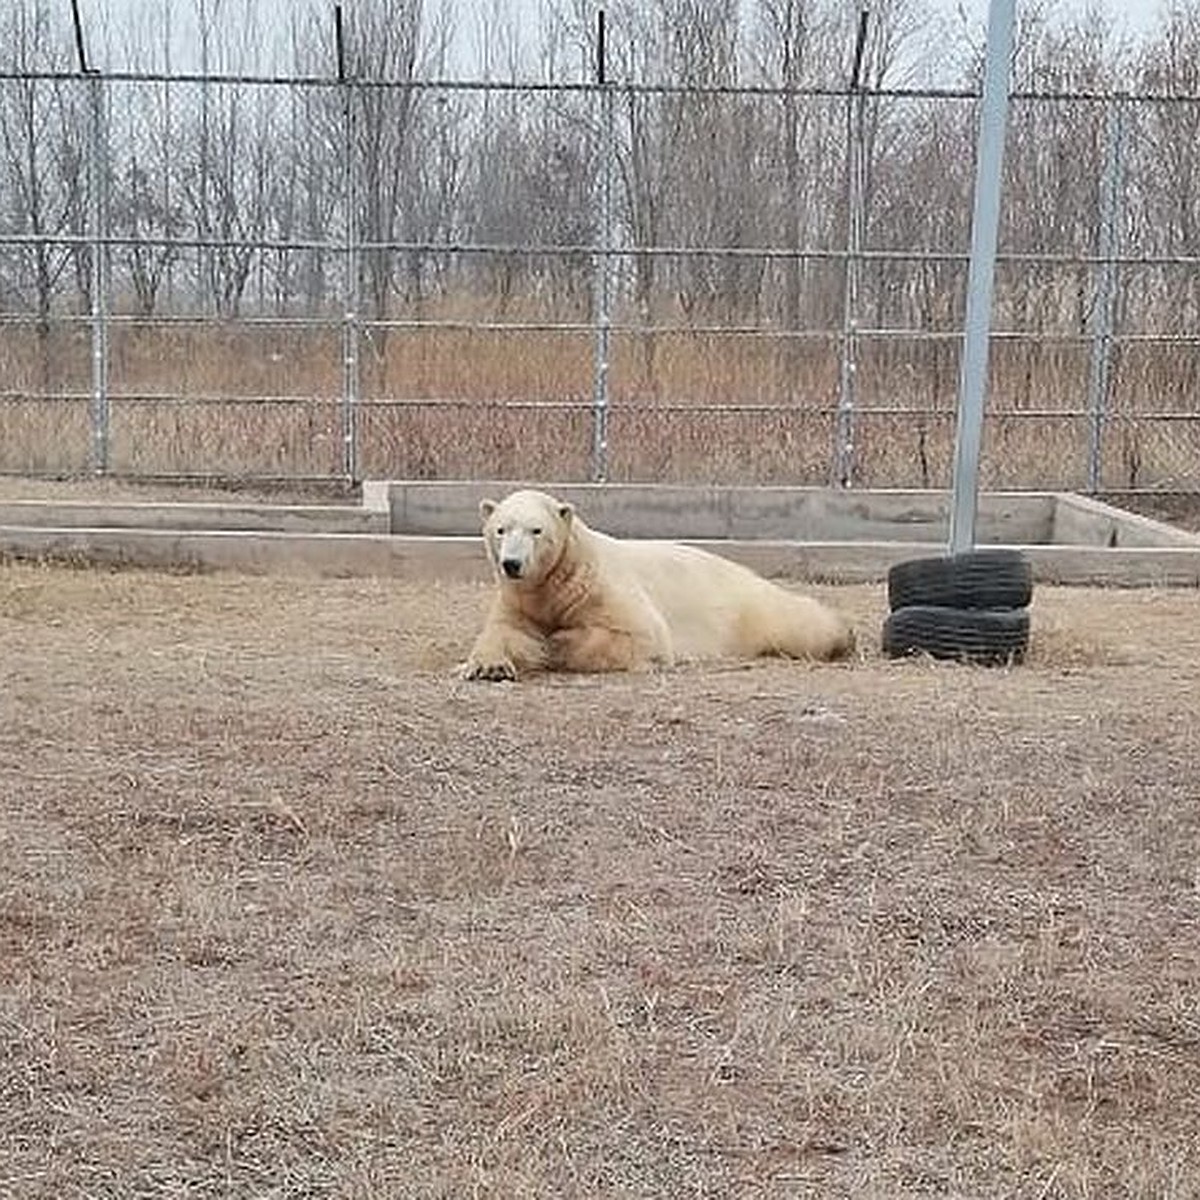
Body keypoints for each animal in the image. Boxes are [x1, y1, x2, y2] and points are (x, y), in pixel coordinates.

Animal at [456, 482, 854, 681]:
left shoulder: (602, 587)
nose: (512, 564)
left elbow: (640, 633)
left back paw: (841, 636)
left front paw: (553, 643)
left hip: (745, 606)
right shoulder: (519, 599)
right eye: (501, 529)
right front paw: (488, 667)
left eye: (536, 530)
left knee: (797, 621)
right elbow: (502, 632)